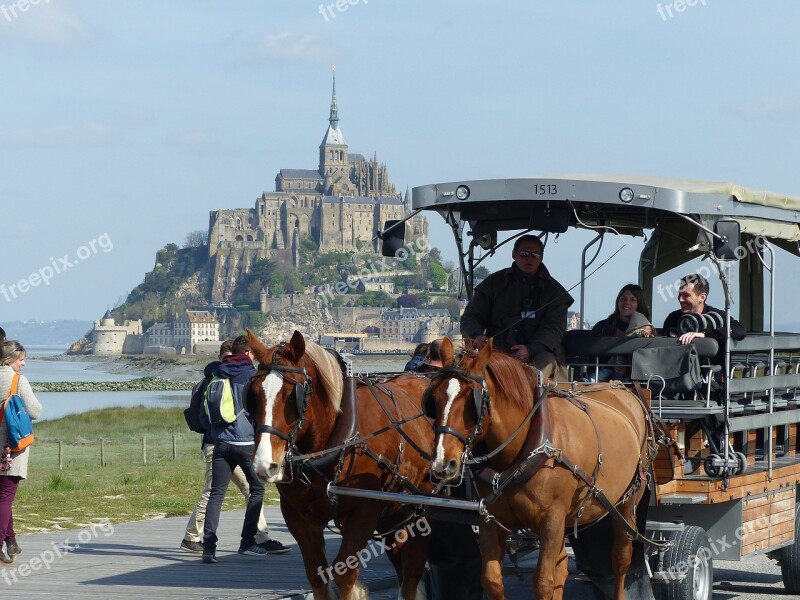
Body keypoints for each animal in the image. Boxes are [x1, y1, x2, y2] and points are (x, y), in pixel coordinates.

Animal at [250, 330, 438, 596]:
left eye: (292, 397)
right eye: (253, 394)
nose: (264, 465)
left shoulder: (364, 511)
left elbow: (345, 573)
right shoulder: (298, 516)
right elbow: (317, 574)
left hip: (423, 505)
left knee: (413, 567)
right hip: (395, 512)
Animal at [428, 338, 652, 600]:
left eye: (469, 400)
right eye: (433, 398)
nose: (443, 463)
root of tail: (626, 391)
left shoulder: (551, 522)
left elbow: (543, 582)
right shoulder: (491, 521)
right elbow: (492, 580)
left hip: (627, 504)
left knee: (620, 560)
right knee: (563, 567)